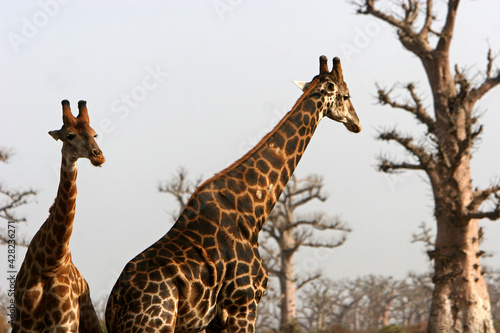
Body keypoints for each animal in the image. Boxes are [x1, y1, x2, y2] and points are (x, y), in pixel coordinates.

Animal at [13, 100, 105, 330]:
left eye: (95, 134)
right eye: (70, 135)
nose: (98, 155)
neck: (50, 260)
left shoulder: (65, 323)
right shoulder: (24, 324)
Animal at [105, 55, 360, 330]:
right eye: (346, 95)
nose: (357, 123)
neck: (253, 211)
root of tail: (114, 305)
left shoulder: (213, 320)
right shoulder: (243, 304)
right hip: (155, 325)